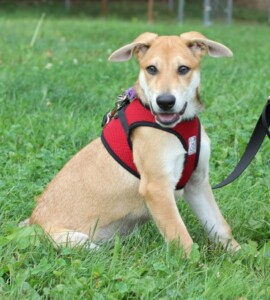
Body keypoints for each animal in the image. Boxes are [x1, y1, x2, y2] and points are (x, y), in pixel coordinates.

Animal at [25, 31, 240, 254]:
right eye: (151, 69)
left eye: (183, 69)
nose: (165, 102)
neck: (179, 126)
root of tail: (32, 223)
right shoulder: (156, 187)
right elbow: (181, 238)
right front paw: (194, 262)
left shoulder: (197, 183)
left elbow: (220, 226)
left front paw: (239, 254)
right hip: (75, 240)